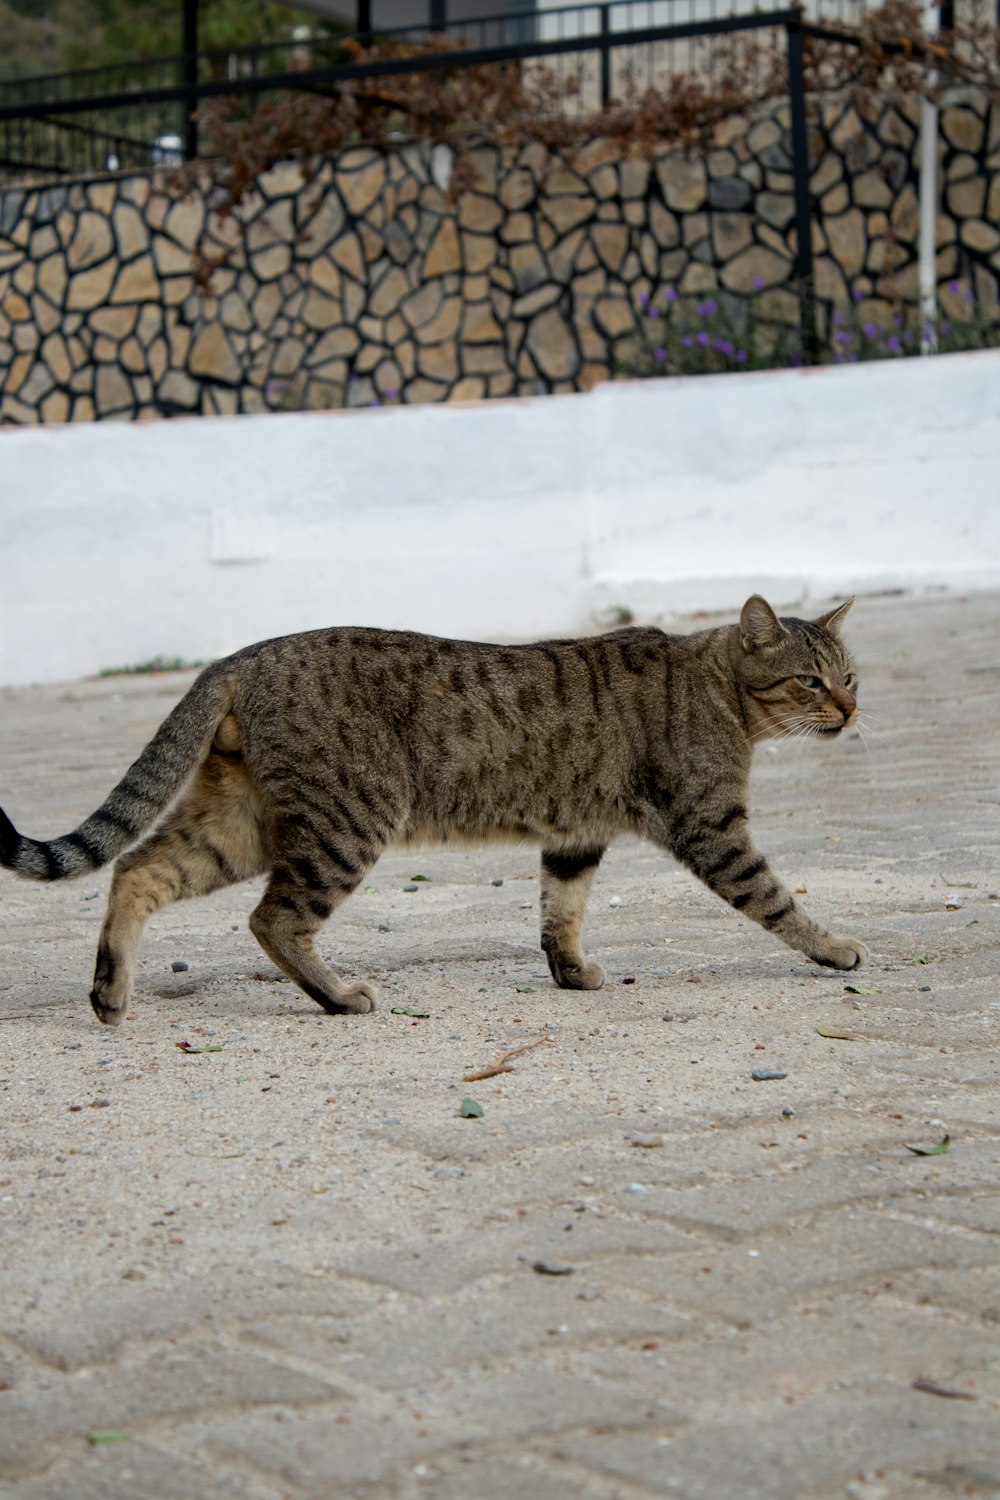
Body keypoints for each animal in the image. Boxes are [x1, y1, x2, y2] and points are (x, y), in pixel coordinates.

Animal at [0, 591, 869, 1026]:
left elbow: (560, 912)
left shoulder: (576, 836)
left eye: (851, 674)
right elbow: (775, 898)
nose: (852, 711)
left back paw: (110, 993)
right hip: (347, 821)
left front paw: (570, 972)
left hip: (237, 824)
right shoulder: (710, 825)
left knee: (137, 869)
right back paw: (338, 997)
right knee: (272, 918)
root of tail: (241, 655)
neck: (720, 690)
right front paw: (834, 948)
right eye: (809, 681)